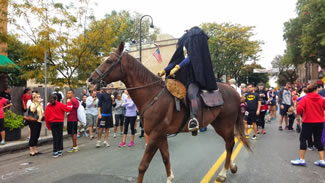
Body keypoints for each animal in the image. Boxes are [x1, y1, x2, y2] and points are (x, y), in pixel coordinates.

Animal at [87, 42, 249, 182]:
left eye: (109, 61)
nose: (90, 81)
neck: (152, 95)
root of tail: (234, 92)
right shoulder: (161, 135)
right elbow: (165, 158)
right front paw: (170, 178)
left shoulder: (155, 135)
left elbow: (143, 166)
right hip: (219, 124)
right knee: (229, 143)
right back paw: (231, 167)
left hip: (226, 124)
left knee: (230, 143)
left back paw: (223, 173)